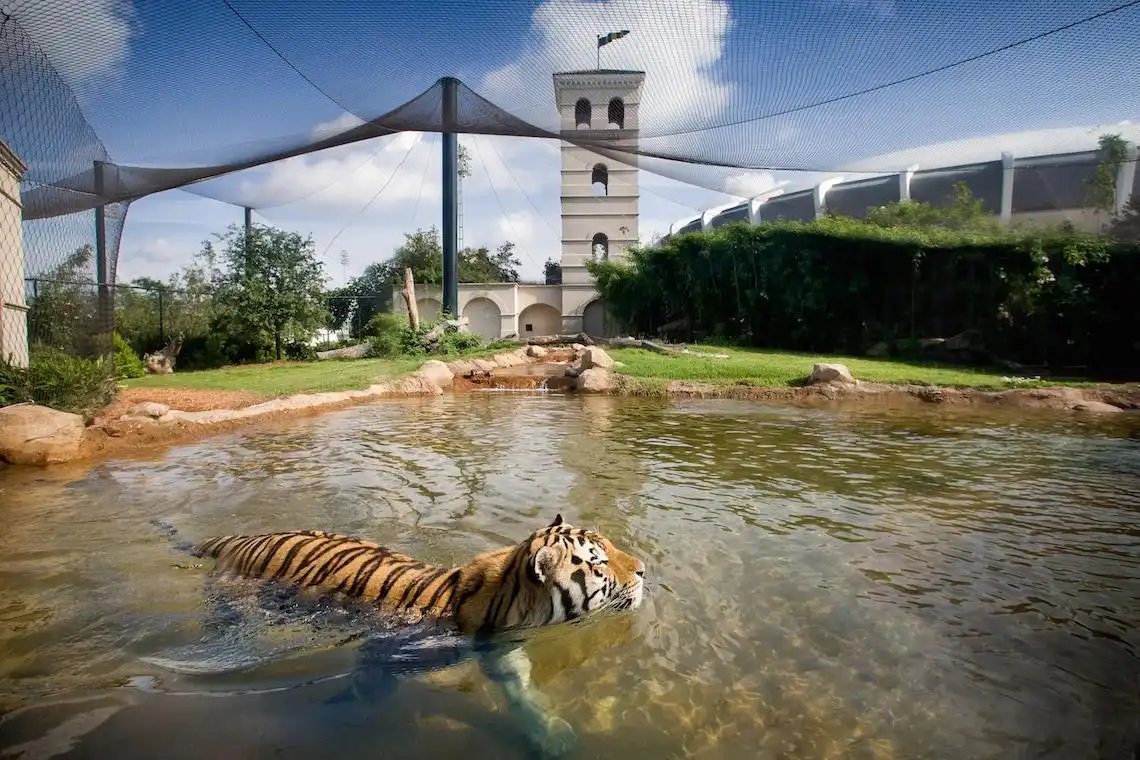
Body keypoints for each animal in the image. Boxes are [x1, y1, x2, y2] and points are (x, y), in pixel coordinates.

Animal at [151, 514, 646, 758]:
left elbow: (523, 694)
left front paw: (551, 737)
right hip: (236, 603)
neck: (508, 603)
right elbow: (366, 691)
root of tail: (237, 539)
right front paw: (335, 719)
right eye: (599, 561)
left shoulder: (504, 654)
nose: (644, 569)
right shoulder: (385, 652)